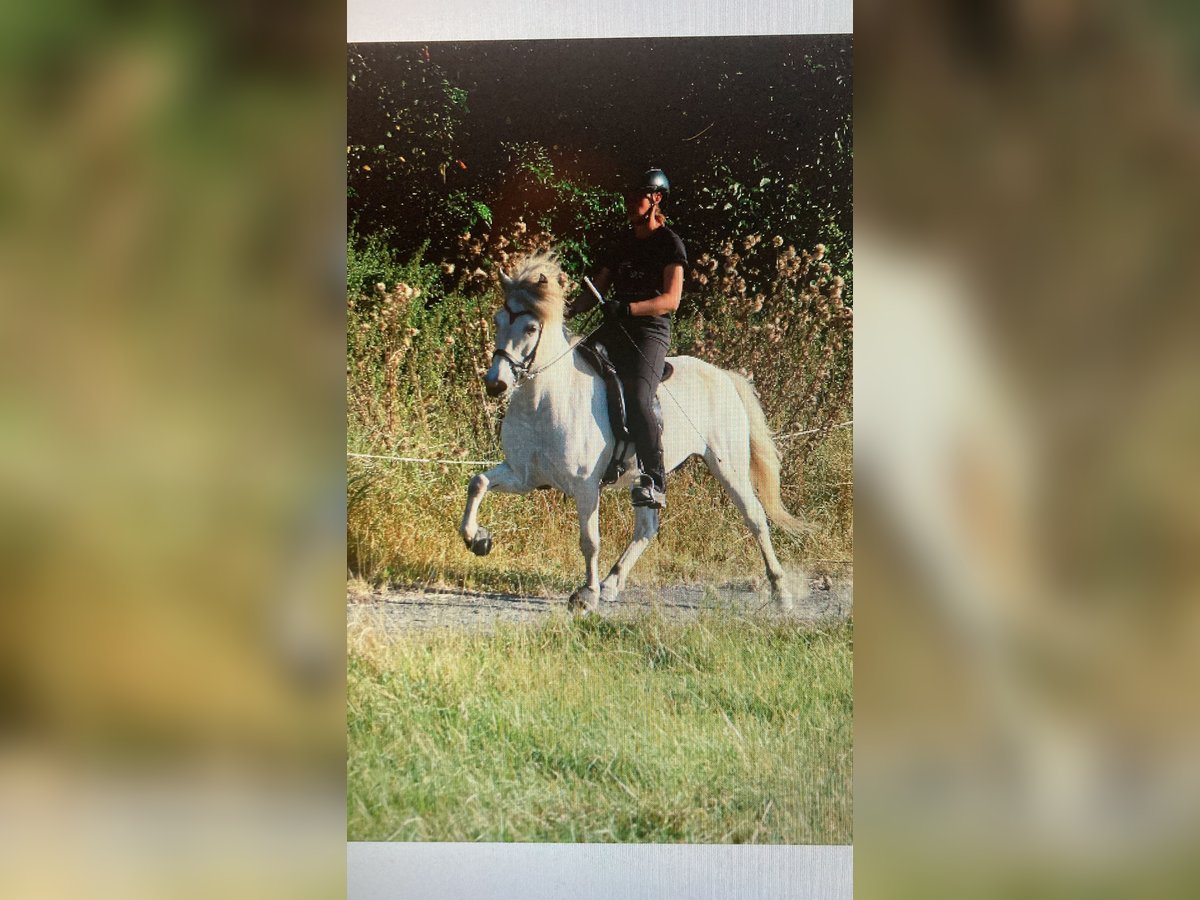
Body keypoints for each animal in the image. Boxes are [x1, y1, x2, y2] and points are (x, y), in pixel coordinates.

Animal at [458, 254, 806, 614]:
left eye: (530, 328)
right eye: (498, 320)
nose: (496, 383)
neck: (545, 398)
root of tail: (722, 375)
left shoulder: (584, 485)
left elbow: (590, 540)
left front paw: (587, 594)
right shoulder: (524, 475)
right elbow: (477, 483)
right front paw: (478, 539)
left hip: (729, 467)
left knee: (755, 518)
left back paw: (781, 593)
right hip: (646, 478)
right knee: (647, 528)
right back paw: (612, 582)